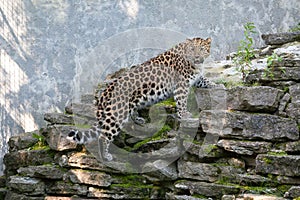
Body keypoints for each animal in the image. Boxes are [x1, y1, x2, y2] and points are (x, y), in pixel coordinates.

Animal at [67, 37, 214, 161]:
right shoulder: (181, 86)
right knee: (104, 135)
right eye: (192, 49)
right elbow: (182, 101)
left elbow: (204, 80)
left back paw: (138, 119)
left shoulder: (195, 78)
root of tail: (105, 93)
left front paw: (215, 85)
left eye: (201, 49)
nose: (196, 57)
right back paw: (105, 156)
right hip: (117, 114)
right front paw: (184, 114)